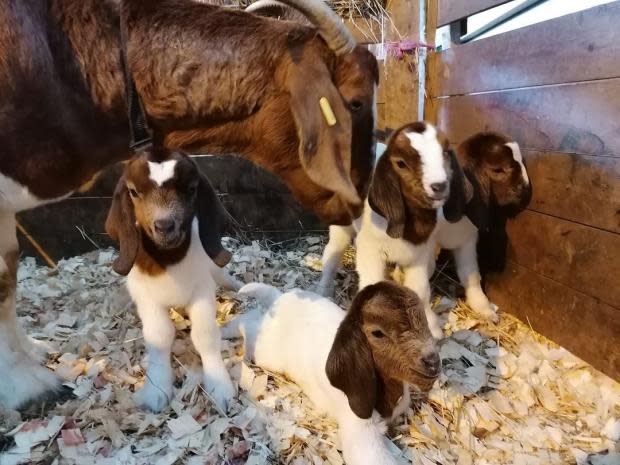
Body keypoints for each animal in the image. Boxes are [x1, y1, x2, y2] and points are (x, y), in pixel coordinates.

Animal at [105, 148, 243, 410]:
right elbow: (159, 337)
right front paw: (156, 389)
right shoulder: (146, 299)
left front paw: (219, 386)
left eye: (191, 189)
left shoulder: (202, 290)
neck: (169, 261)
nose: (164, 225)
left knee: (223, 275)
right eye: (134, 192)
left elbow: (205, 335)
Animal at [223, 280, 440, 464]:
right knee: (250, 325)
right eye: (378, 333)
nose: (433, 362)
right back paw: (228, 329)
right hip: (267, 353)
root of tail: (280, 298)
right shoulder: (360, 431)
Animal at [318, 121, 458, 336]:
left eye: (444, 152)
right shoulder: (370, 252)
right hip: (342, 225)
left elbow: (421, 290)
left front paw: (431, 327)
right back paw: (323, 291)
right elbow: (370, 283)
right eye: (400, 163)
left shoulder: (419, 256)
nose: (439, 186)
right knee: (332, 252)